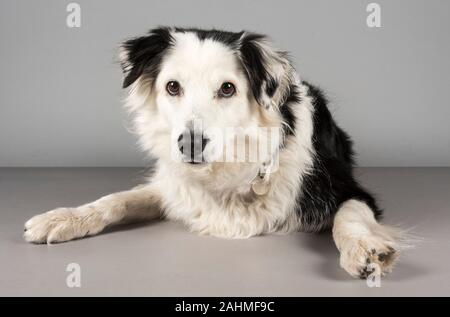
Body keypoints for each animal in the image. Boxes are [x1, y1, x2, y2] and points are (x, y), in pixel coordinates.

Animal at [23, 27, 404, 278]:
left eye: (227, 89)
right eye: (172, 87)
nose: (189, 143)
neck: (232, 171)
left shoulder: (346, 188)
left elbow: (349, 215)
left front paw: (364, 250)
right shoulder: (172, 187)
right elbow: (116, 199)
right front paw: (63, 218)